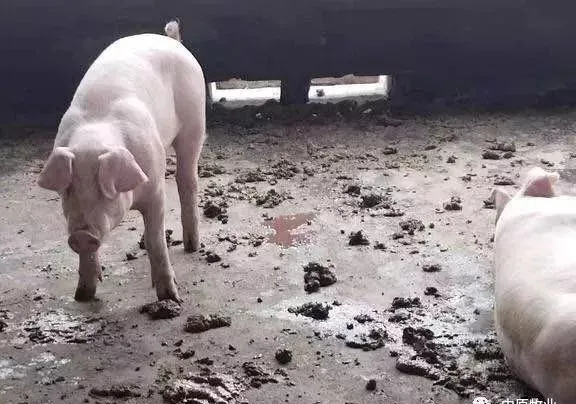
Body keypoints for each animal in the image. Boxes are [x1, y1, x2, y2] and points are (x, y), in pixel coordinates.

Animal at [37, 19, 205, 303]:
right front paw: (83, 296)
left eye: (105, 190)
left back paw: (193, 246)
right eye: (68, 191)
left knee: (187, 179)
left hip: (195, 123)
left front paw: (170, 298)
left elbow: (157, 240)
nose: (82, 234)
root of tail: (172, 40)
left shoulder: (156, 189)